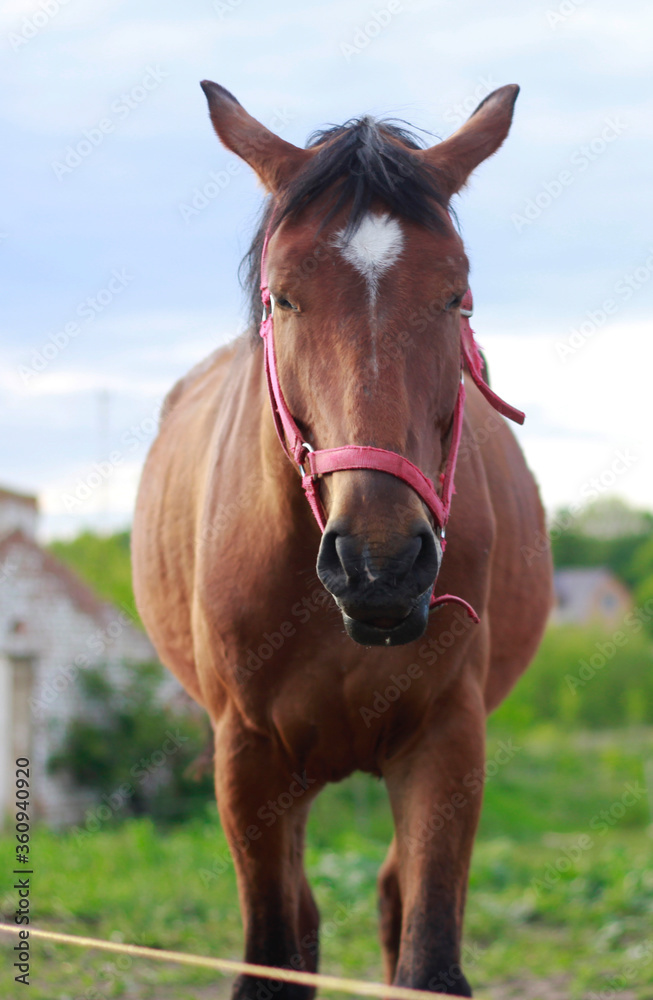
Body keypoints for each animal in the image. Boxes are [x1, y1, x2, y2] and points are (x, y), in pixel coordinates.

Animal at [131, 82, 552, 996]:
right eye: (282, 296)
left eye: (456, 295)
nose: (380, 564)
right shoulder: (248, 758)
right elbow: (271, 957)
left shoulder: (447, 742)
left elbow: (428, 960)